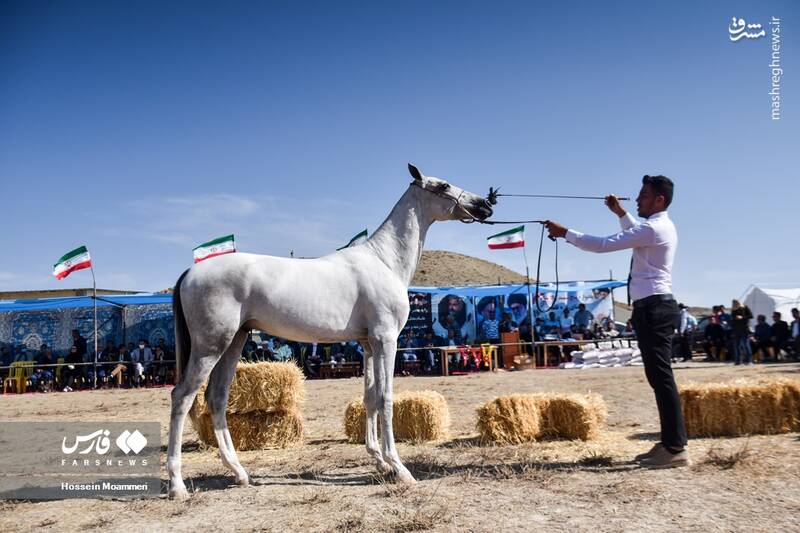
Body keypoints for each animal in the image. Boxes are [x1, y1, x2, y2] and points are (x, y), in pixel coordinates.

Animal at [167, 163, 494, 498]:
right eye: (442, 186)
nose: (485, 204)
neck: (384, 261)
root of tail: (190, 273)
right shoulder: (386, 339)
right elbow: (386, 398)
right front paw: (399, 468)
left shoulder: (368, 343)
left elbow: (370, 398)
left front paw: (380, 462)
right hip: (210, 346)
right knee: (182, 397)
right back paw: (178, 484)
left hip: (234, 341)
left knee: (217, 398)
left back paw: (240, 473)